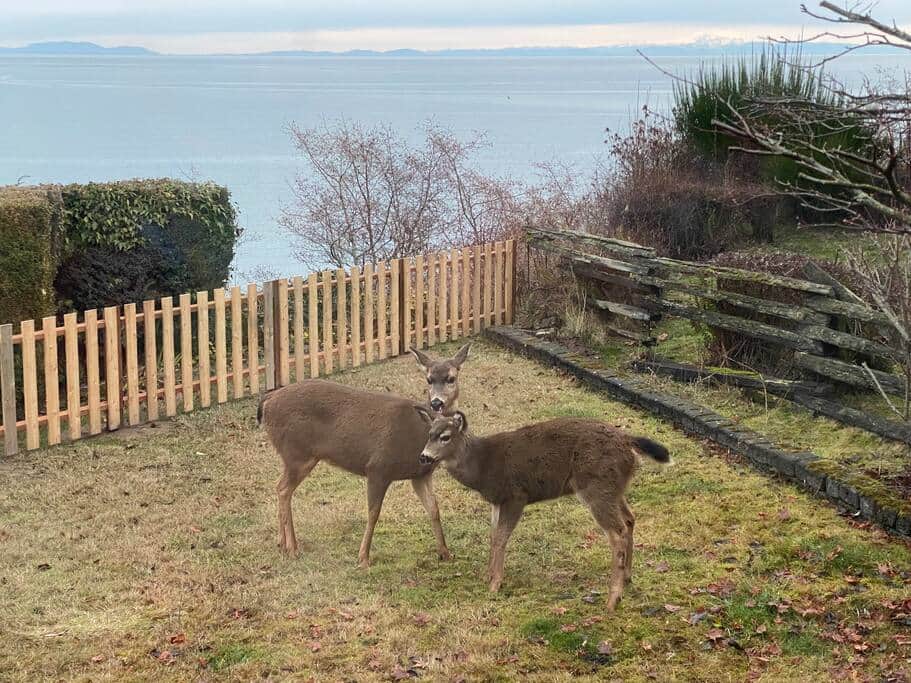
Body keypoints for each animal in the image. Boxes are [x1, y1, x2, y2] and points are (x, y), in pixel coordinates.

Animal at [257, 343, 471, 568]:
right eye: (429, 379)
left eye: (451, 378)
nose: (437, 403)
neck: (418, 432)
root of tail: (267, 401)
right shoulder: (378, 467)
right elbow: (373, 513)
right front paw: (363, 558)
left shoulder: (420, 475)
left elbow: (434, 509)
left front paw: (446, 553)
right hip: (297, 453)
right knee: (283, 489)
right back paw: (292, 548)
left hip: (294, 455)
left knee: (279, 487)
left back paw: (282, 543)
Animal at [416, 411, 670, 610]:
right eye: (429, 434)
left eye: (445, 437)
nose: (424, 457)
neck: (482, 466)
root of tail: (628, 441)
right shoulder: (497, 501)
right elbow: (493, 536)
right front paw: (488, 575)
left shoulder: (516, 495)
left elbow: (501, 538)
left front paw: (495, 584)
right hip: (614, 488)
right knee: (629, 519)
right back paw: (627, 577)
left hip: (596, 485)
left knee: (617, 532)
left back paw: (612, 600)